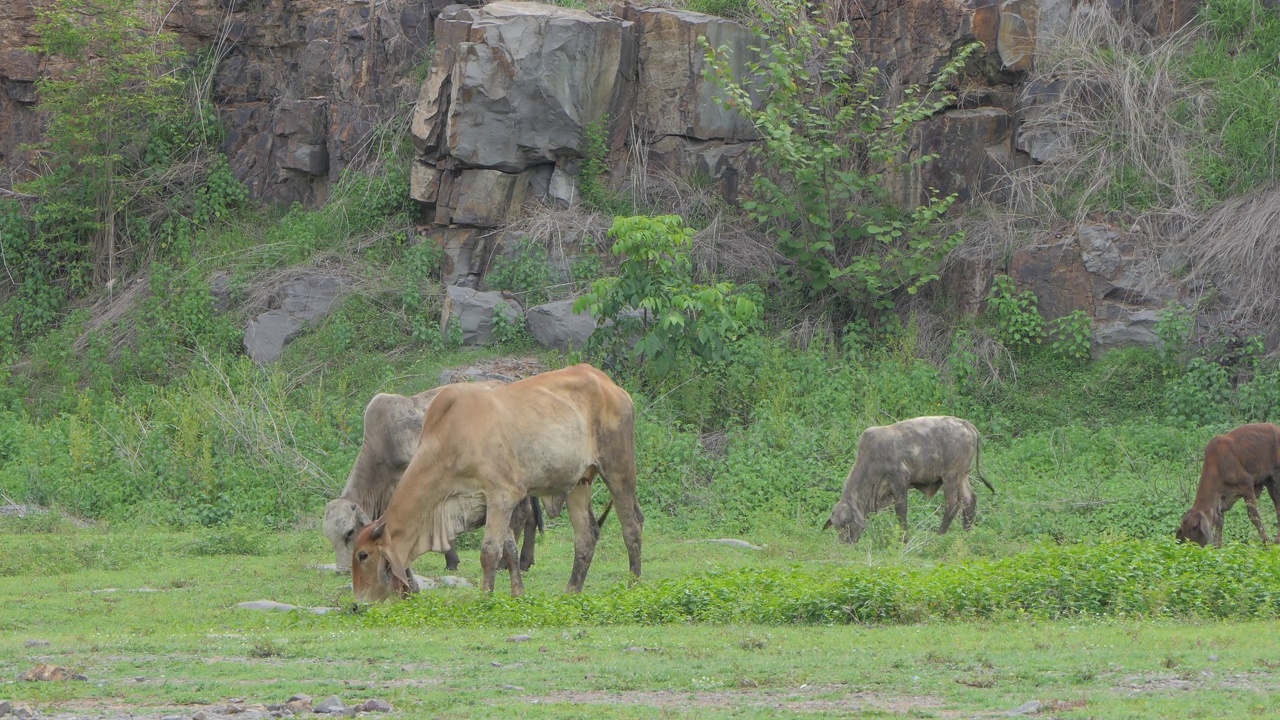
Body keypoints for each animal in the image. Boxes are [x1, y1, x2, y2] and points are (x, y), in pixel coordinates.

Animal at [325, 381, 540, 571]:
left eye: (350, 532)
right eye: (330, 538)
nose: (342, 570)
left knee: (521, 514)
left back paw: (506, 563)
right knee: (530, 516)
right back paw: (525, 561)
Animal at [350, 361, 640, 597]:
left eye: (363, 555)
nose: (358, 602)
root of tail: (607, 383)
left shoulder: (502, 495)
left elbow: (489, 552)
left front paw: (486, 597)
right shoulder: (488, 503)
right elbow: (508, 550)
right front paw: (517, 593)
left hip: (619, 469)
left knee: (632, 526)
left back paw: (633, 586)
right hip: (579, 483)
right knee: (586, 535)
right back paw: (572, 590)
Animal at [824, 415, 993, 543]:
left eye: (847, 524)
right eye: (837, 527)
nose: (845, 542)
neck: (871, 459)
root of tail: (967, 425)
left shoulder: (899, 482)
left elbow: (901, 512)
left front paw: (904, 539)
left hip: (951, 476)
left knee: (952, 503)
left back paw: (940, 534)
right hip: (963, 476)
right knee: (969, 500)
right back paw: (967, 533)